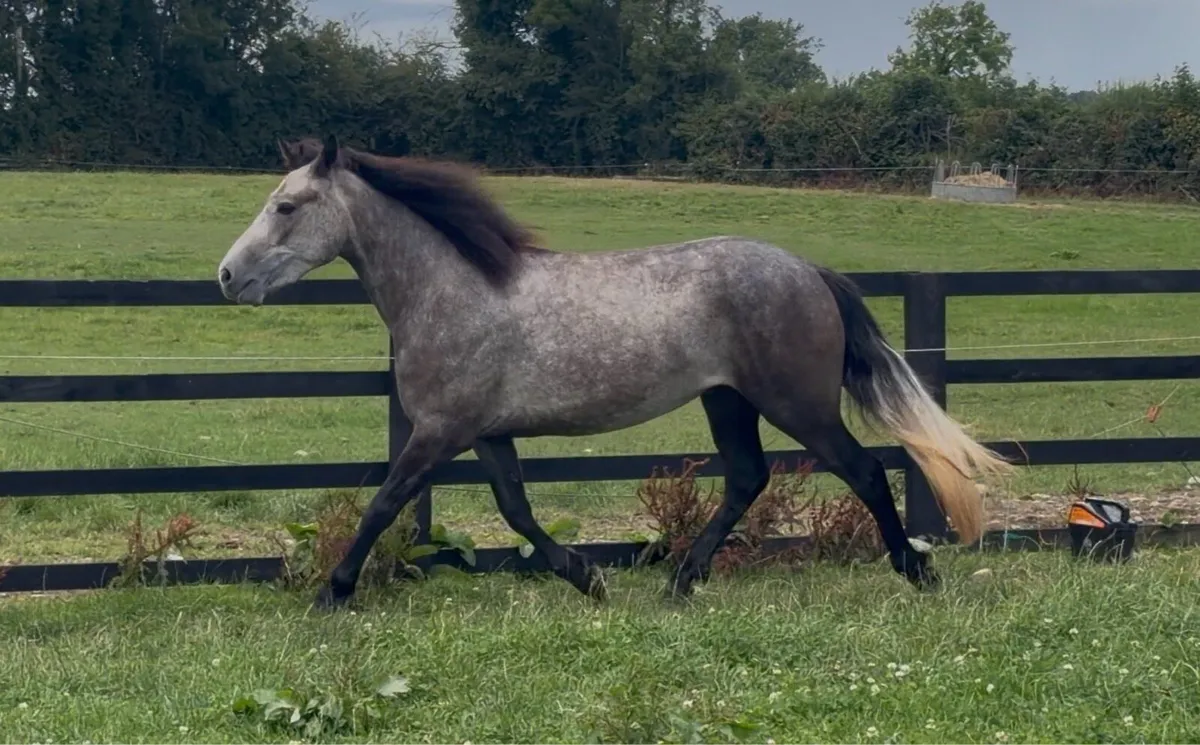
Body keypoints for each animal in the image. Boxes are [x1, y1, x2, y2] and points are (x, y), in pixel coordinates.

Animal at [217, 134, 1012, 610]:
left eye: (286, 205)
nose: (227, 276)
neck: (451, 290)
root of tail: (807, 271)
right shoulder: (485, 432)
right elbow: (517, 509)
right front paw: (589, 576)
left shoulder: (439, 430)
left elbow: (384, 504)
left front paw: (332, 592)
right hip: (728, 400)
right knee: (747, 478)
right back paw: (681, 582)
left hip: (797, 404)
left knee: (866, 470)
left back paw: (916, 569)